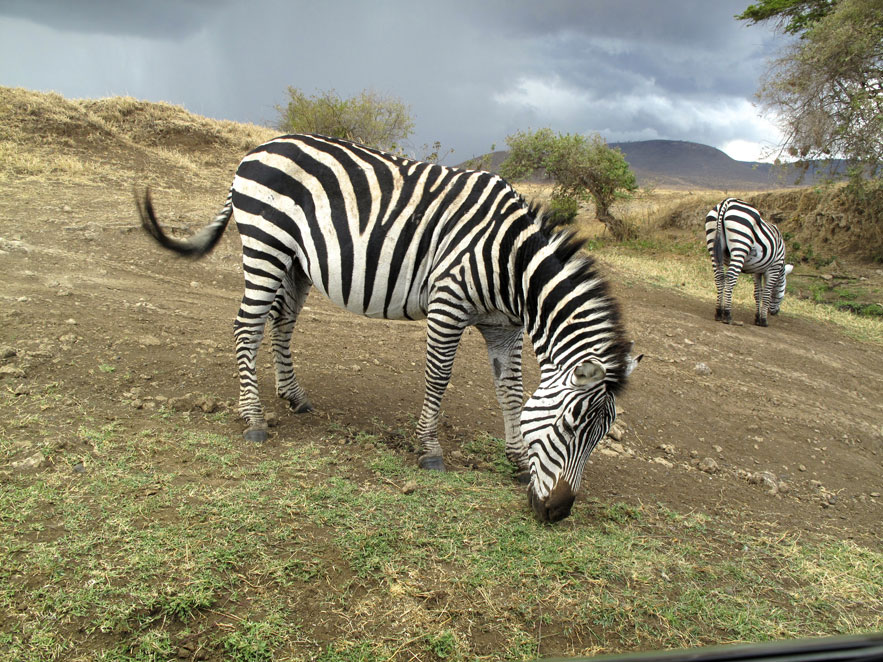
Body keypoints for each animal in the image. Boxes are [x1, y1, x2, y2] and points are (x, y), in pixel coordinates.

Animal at [137, 133, 641, 523]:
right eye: (571, 426)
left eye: (600, 437)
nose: (557, 513)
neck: (511, 264)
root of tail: (261, 147)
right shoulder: (448, 304)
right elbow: (439, 379)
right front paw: (429, 450)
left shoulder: (504, 328)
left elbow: (512, 392)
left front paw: (516, 458)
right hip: (266, 243)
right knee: (248, 326)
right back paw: (254, 418)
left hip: (296, 262)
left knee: (282, 322)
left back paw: (294, 396)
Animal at [705, 198, 793, 327]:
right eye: (783, 290)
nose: (775, 312)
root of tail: (727, 202)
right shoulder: (773, 269)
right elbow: (766, 294)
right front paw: (763, 320)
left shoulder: (756, 270)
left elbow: (757, 293)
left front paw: (757, 318)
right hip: (740, 245)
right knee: (730, 278)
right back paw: (727, 315)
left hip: (713, 243)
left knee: (719, 277)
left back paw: (719, 313)